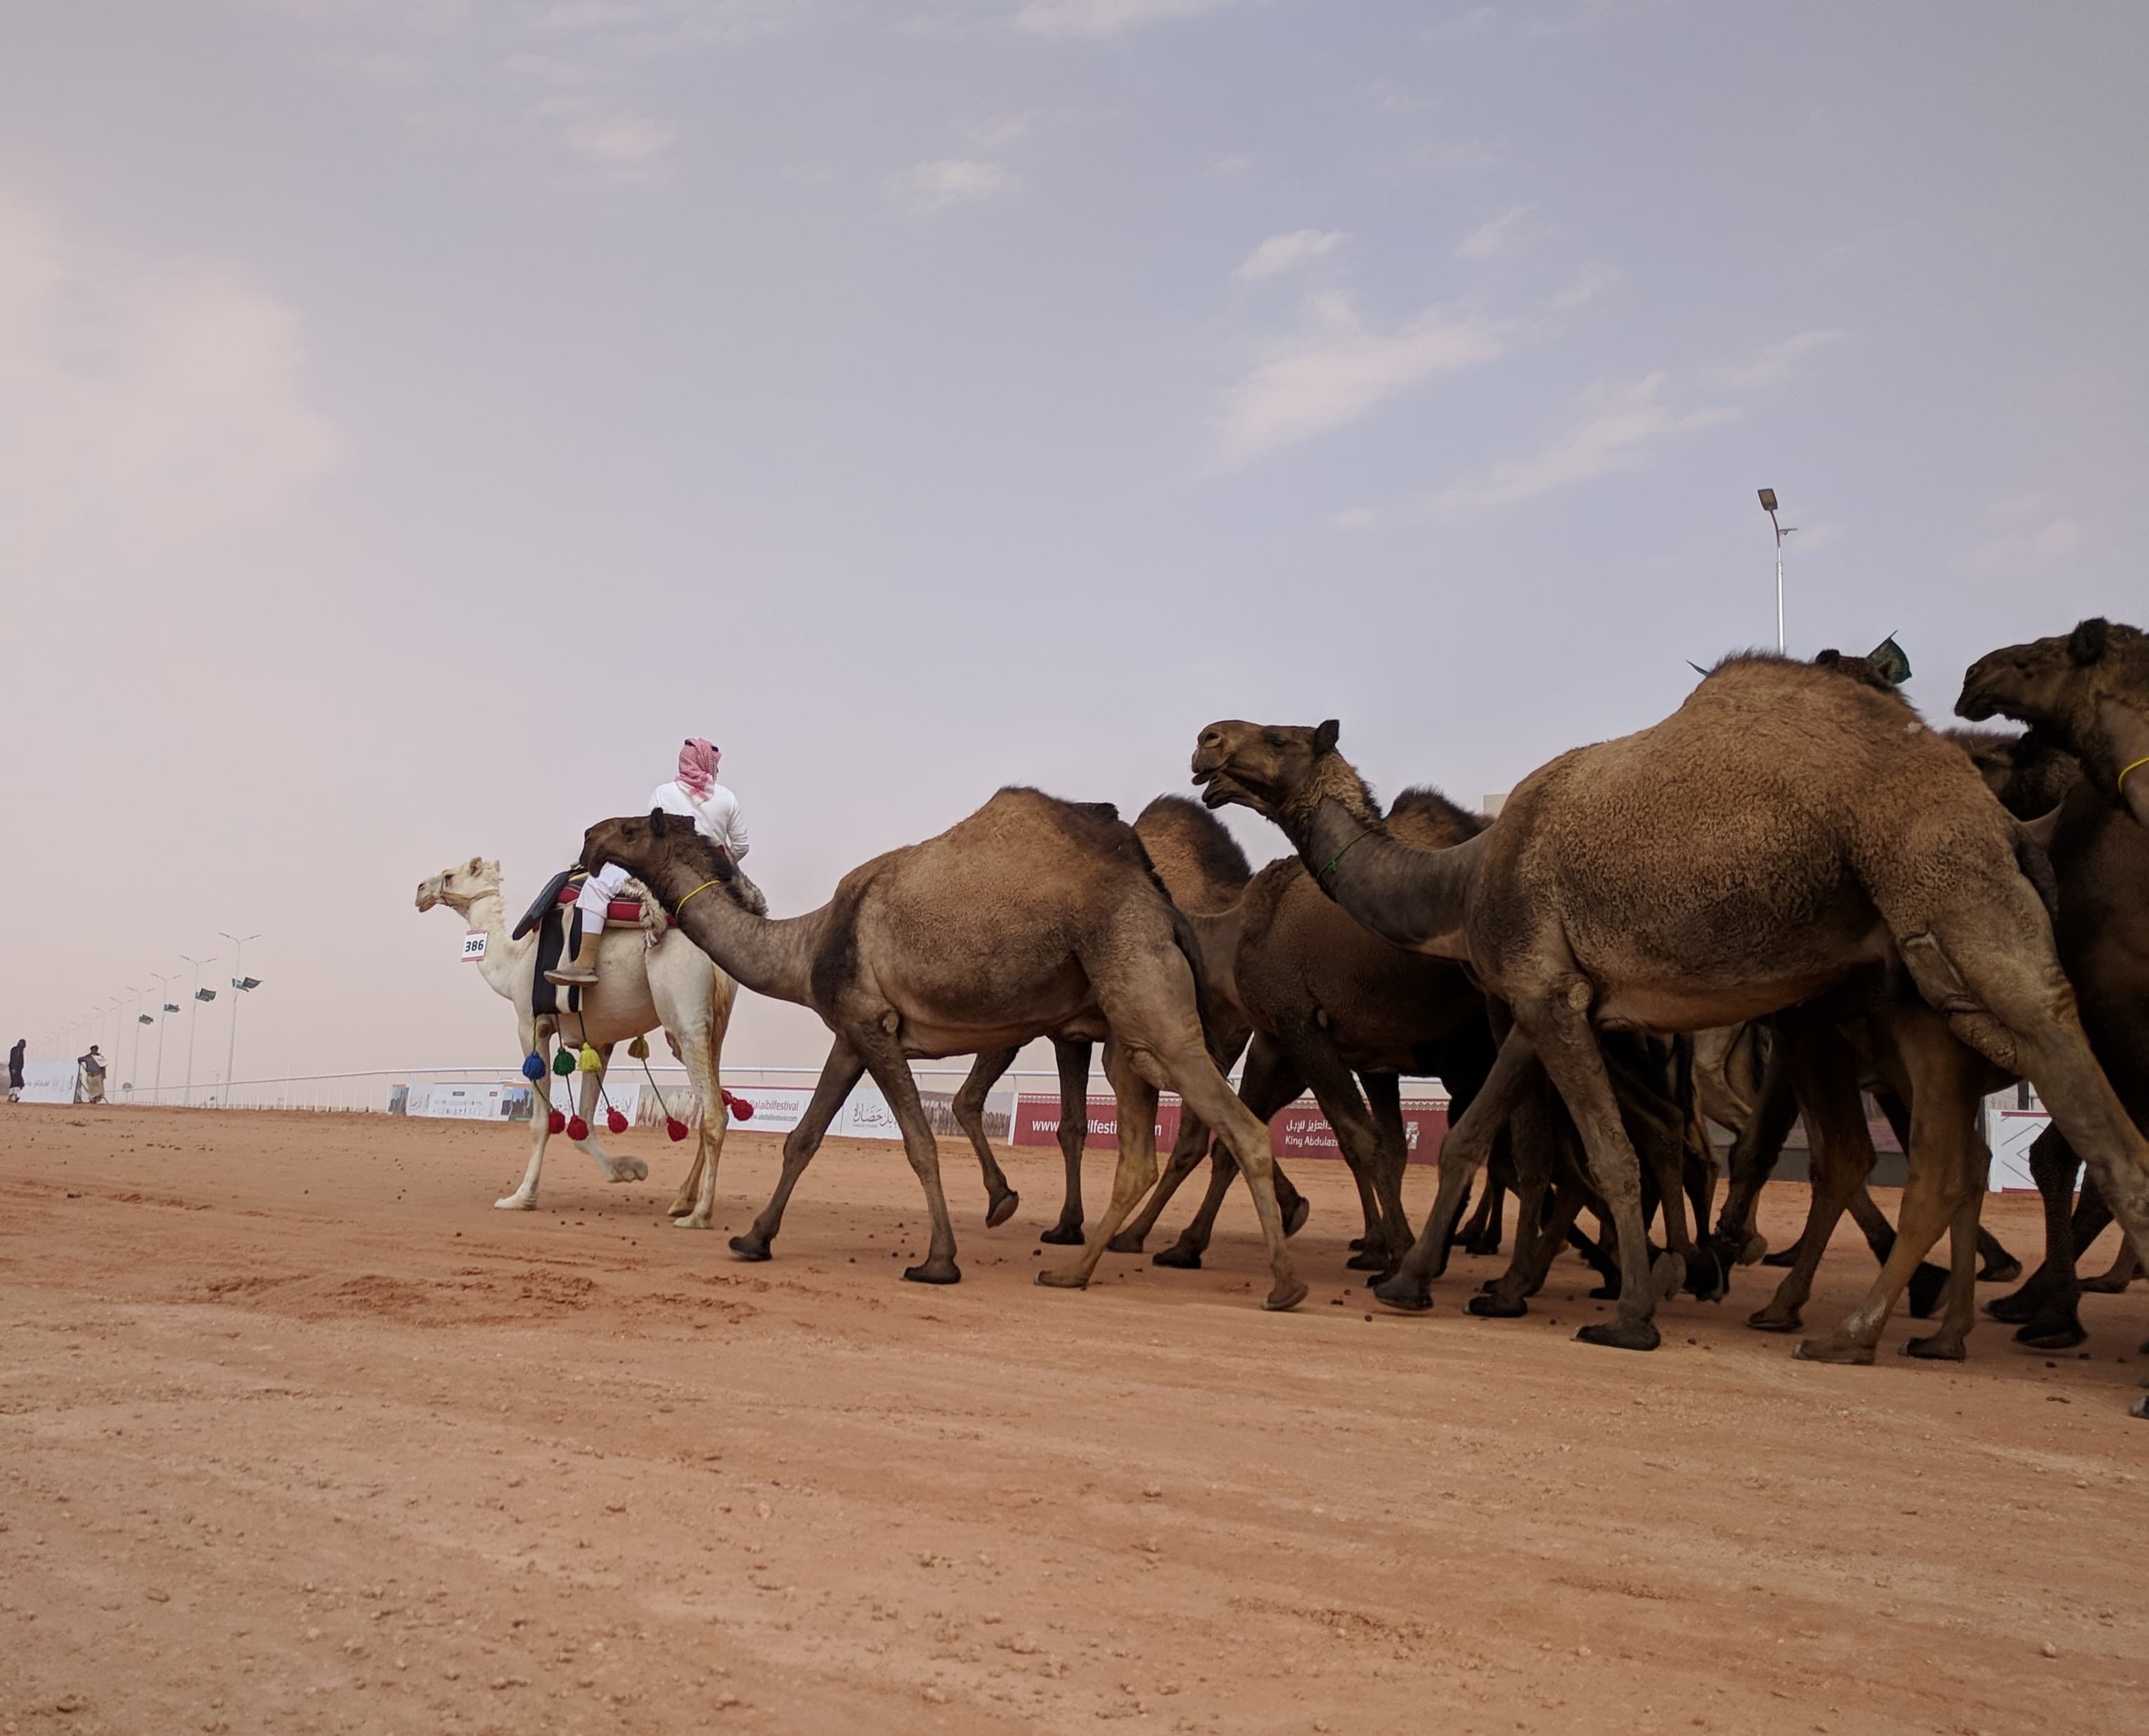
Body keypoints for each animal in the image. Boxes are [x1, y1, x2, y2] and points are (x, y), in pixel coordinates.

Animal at [415, 858, 738, 1222]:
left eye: (449, 875)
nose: (420, 891)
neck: (514, 963)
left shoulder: (530, 1025)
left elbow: (541, 1123)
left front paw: (521, 1198)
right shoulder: (598, 1040)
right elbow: (584, 1120)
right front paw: (629, 1170)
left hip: (684, 1013)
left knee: (713, 1112)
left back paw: (700, 1214)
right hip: (711, 1025)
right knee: (715, 1099)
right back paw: (682, 1199)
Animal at [577, 792, 1308, 1310]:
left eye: (633, 828)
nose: (588, 836)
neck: (806, 945)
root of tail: (1165, 908)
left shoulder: (872, 1025)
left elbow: (919, 1144)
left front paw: (937, 1261)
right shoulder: (850, 1032)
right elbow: (803, 1139)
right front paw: (753, 1238)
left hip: (1140, 988)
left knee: (1237, 1126)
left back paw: (1280, 1284)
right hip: (1129, 1020)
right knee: (1147, 1147)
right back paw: (1074, 1270)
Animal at [1191, 654, 2149, 1369]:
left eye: (1280, 736)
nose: (1206, 738)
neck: (1462, 880)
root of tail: (1999, 816)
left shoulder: (1544, 993)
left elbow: (1609, 1155)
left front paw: (1628, 1315)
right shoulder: (1542, 997)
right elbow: (1474, 1138)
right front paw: (1415, 1280)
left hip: (1949, 890)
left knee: (2079, 1104)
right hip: (1911, 984)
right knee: (1949, 1155)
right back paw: (1886, 1329)